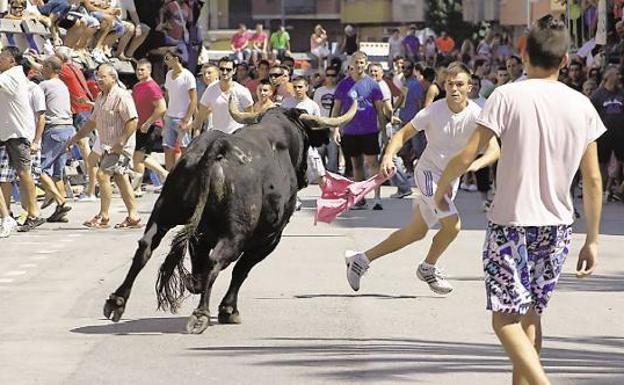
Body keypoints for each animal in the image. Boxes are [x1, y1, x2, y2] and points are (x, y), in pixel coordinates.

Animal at [102, 100, 356, 332]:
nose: (305, 176)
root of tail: (217, 147)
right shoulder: (269, 238)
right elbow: (241, 270)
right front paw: (228, 310)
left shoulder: (202, 234)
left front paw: (195, 283)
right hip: (236, 233)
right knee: (218, 261)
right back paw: (201, 315)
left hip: (165, 212)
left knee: (146, 246)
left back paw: (117, 301)